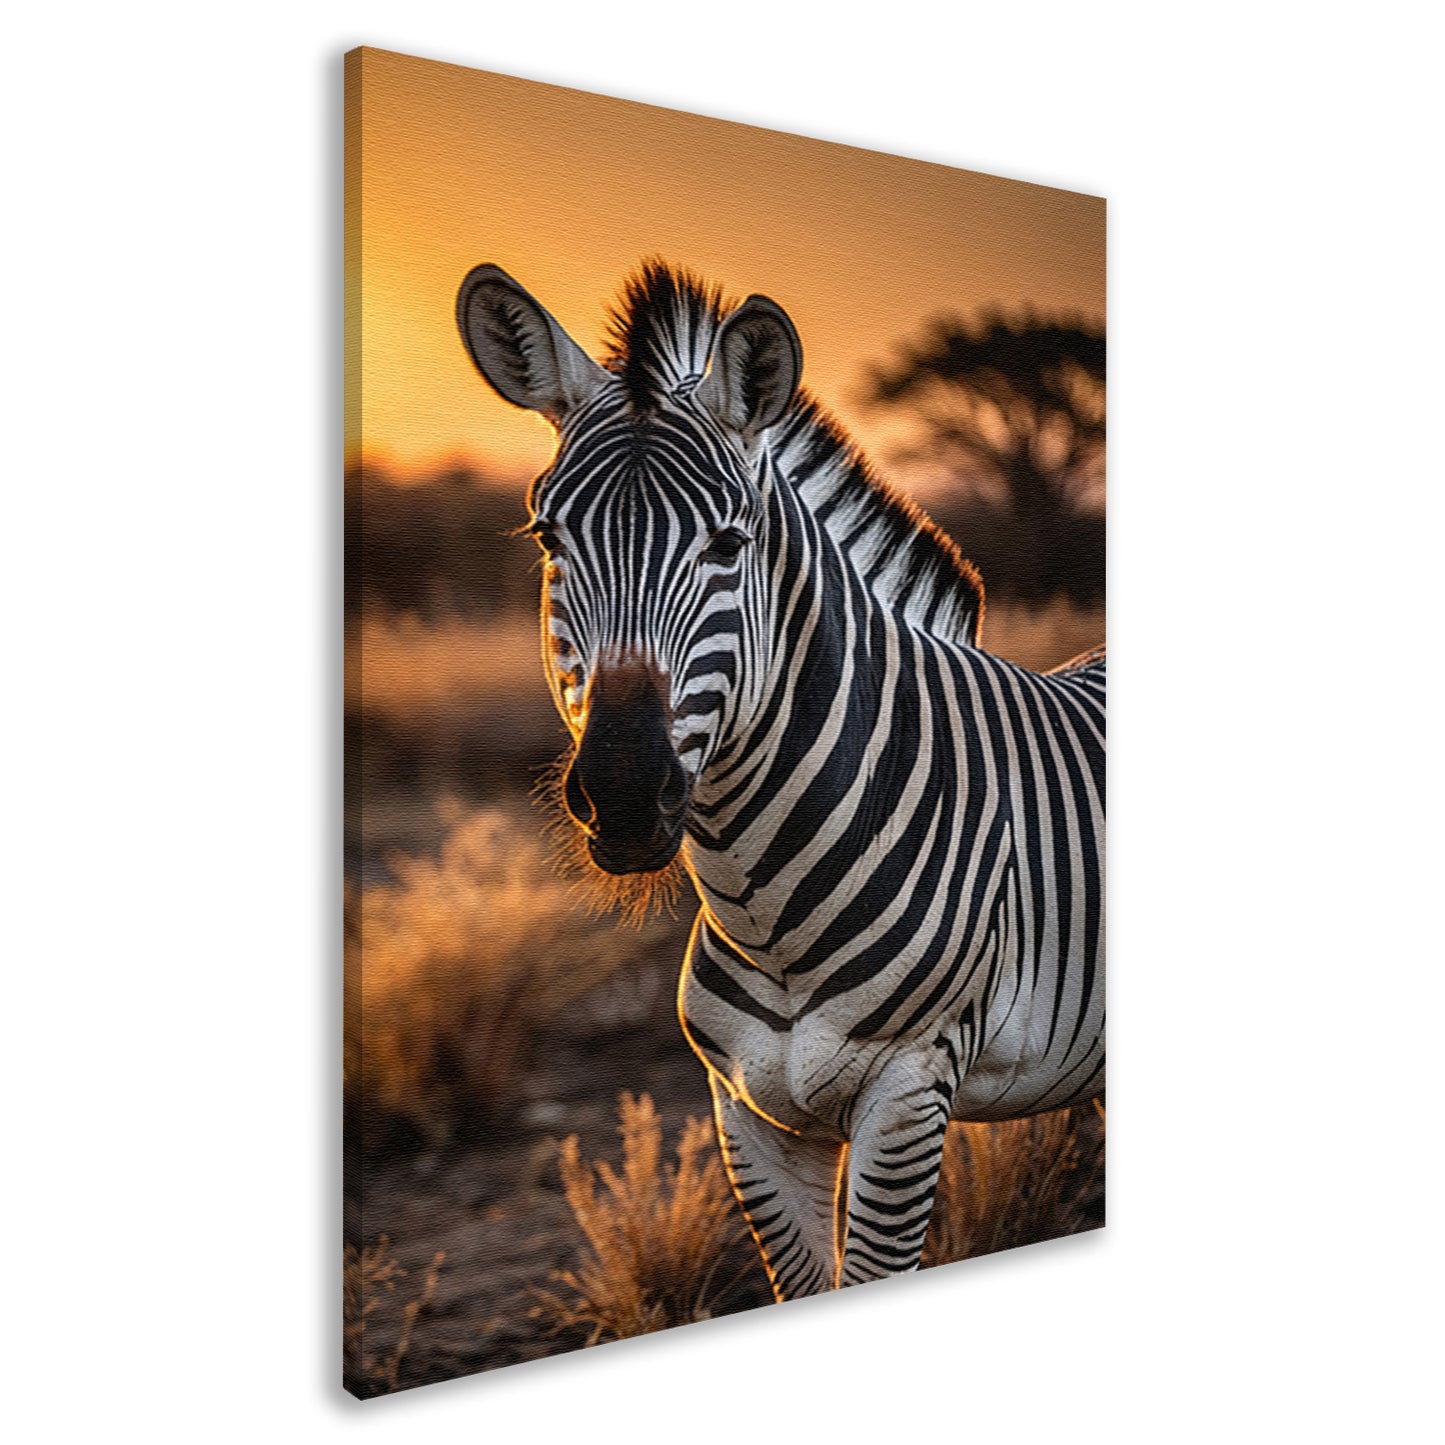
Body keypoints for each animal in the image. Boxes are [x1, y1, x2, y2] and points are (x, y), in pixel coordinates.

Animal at [457, 259, 1104, 1300]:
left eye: (728, 544)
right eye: (549, 539)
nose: (626, 795)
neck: (766, 911)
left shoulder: (905, 1097)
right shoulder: (749, 1112)